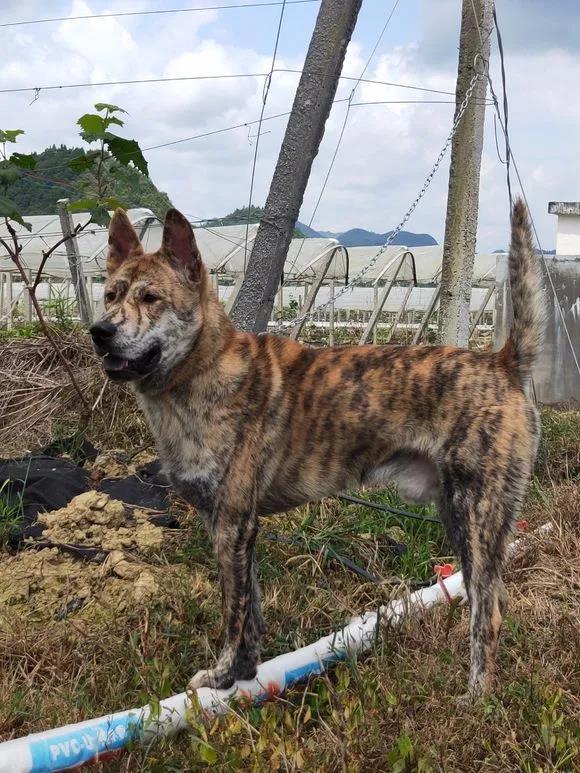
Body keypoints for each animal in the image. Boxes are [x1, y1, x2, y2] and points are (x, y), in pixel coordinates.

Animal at [90, 202, 544, 696]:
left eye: (151, 298)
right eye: (110, 295)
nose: (100, 332)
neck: (201, 369)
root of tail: (501, 363)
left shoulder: (232, 523)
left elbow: (233, 612)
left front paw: (221, 677)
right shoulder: (232, 527)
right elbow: (251, 610)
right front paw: (245, 675)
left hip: (475, 515)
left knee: (487, 611)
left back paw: (474, 698)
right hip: (461, 515)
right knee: (494, 595)